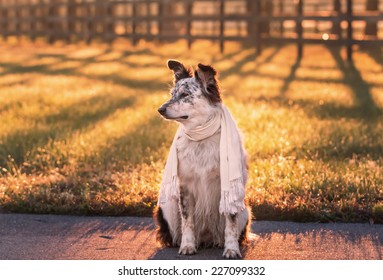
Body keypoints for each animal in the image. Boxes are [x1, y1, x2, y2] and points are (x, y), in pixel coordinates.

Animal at [156, 59, 252, 258]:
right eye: (172, 94)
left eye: (185, 94)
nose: (160, 109)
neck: (202, 137)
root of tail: (207, 238)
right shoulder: (185, 186)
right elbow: (187, 221)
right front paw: (187, 246)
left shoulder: (228, 188)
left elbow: (230, 223)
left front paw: (231, 249)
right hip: (168, 206)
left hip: (245, 210)